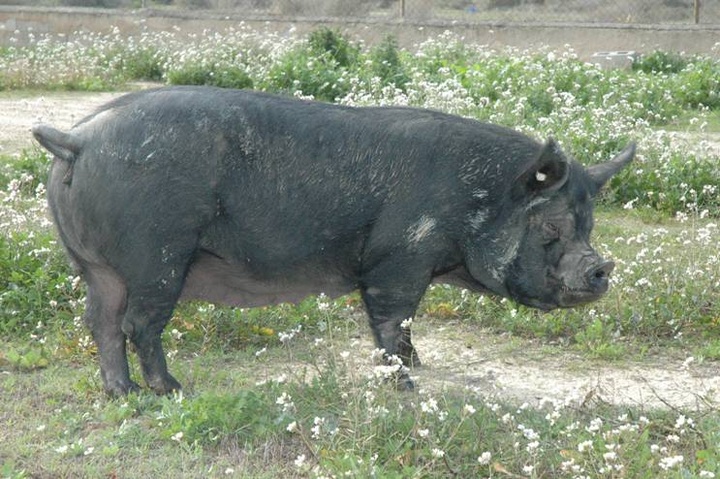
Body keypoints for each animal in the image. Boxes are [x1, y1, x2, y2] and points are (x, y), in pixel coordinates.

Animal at [32, 86, 635, 396]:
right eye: (551, 227)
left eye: (589, 225)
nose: (602, 269)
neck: (476, 203)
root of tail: (76, 139)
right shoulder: (399, 257)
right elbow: (393, 321)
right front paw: (407, 387)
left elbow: (405, 329)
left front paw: (418, 369)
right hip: (158, 253)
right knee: (138, 324)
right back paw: (173, 390)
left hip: (94, 264)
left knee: (100, 321)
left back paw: (122, 394)